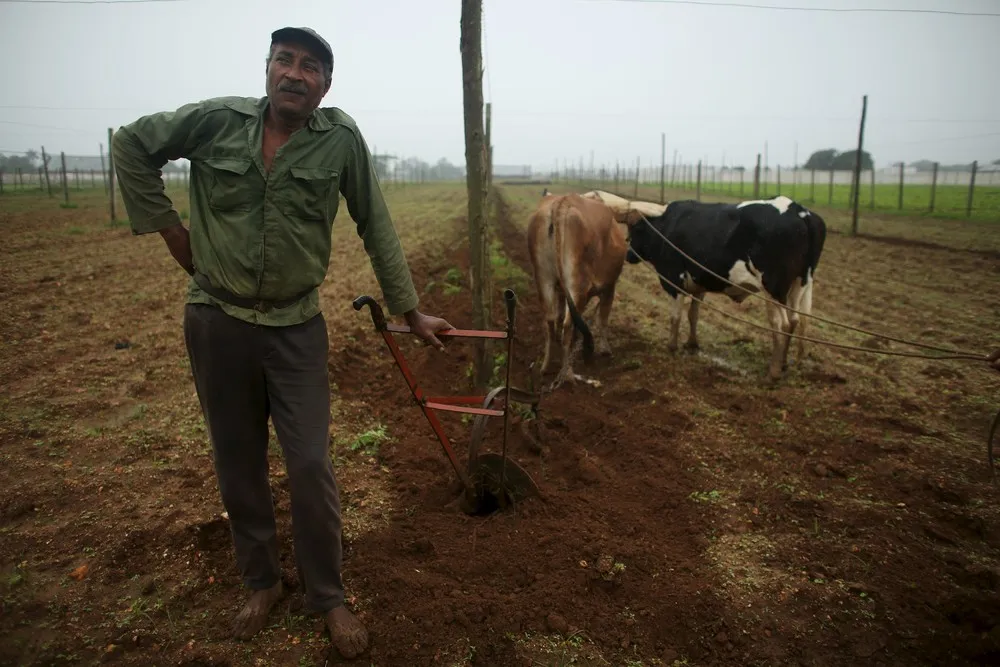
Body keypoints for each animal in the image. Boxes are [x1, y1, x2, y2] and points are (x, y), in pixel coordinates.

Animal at [528, 190, 628, 388]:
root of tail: (562, 203)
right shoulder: (609, 288)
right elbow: (602, 319)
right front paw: (605, 350)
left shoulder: (560, 291)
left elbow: (561, 317)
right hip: (577, 285)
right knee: (568, 325)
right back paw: (567, 375)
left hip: (544, 279)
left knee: (550, 321)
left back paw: (546, 366)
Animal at [624, 196, 828, 378]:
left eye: (636, 230)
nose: (628, 255)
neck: (667, 226)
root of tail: (799, 210)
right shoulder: (699, 284)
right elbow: (693, 315)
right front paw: (691, 344)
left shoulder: (674, 280)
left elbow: (676, 316)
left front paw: (671, 347)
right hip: (799, 284)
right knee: (794, 320)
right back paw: (784, 363)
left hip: (773, 288)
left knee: (781, 324)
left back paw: (774, 372)